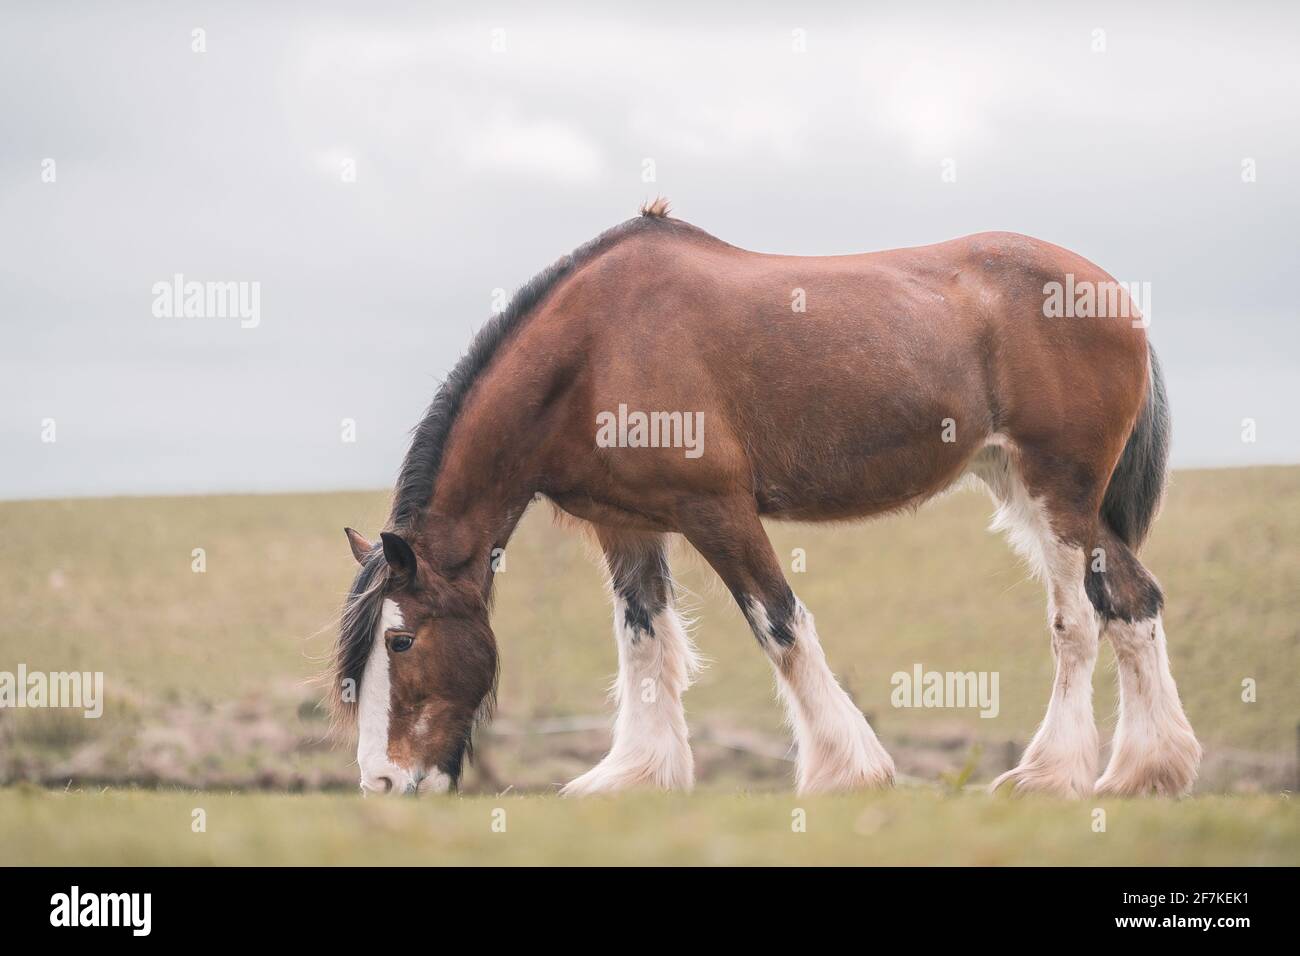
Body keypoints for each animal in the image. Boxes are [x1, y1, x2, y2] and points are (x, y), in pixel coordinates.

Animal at [334, 199, 1201, 799]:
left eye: (400, 641)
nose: (380, 781)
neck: (594, 351)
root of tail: (1113, 296)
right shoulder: (627, 526)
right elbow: (643, 641)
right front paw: (636, 774)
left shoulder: (718, 510)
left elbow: (781, 626)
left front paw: (846, 771)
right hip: (1033, 489)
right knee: (1134, 603)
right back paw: (1145, 772)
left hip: (1058, 493)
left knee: (1078, 620)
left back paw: (1049, 774)